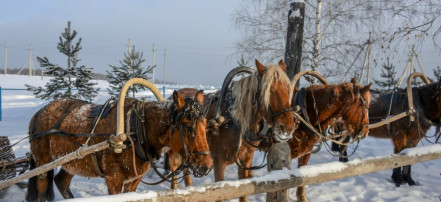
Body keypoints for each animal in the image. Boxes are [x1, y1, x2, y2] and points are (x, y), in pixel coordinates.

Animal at [25, 90, 211, 201]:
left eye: (205, 123)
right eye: (186, 125)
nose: (206, 166)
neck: (135, 129)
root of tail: (39, 112)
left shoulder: (134, 179)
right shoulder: (114, 178)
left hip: (72, 161)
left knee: (61, 181)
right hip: (43, 162)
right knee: (42, 186)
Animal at [167, 59, 298, 201]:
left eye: (288, 89)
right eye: (270, 91)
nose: (288, 127)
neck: (235, 121)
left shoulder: (246, 161)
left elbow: (244, 192)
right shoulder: (218, 163)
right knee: (174, 175)